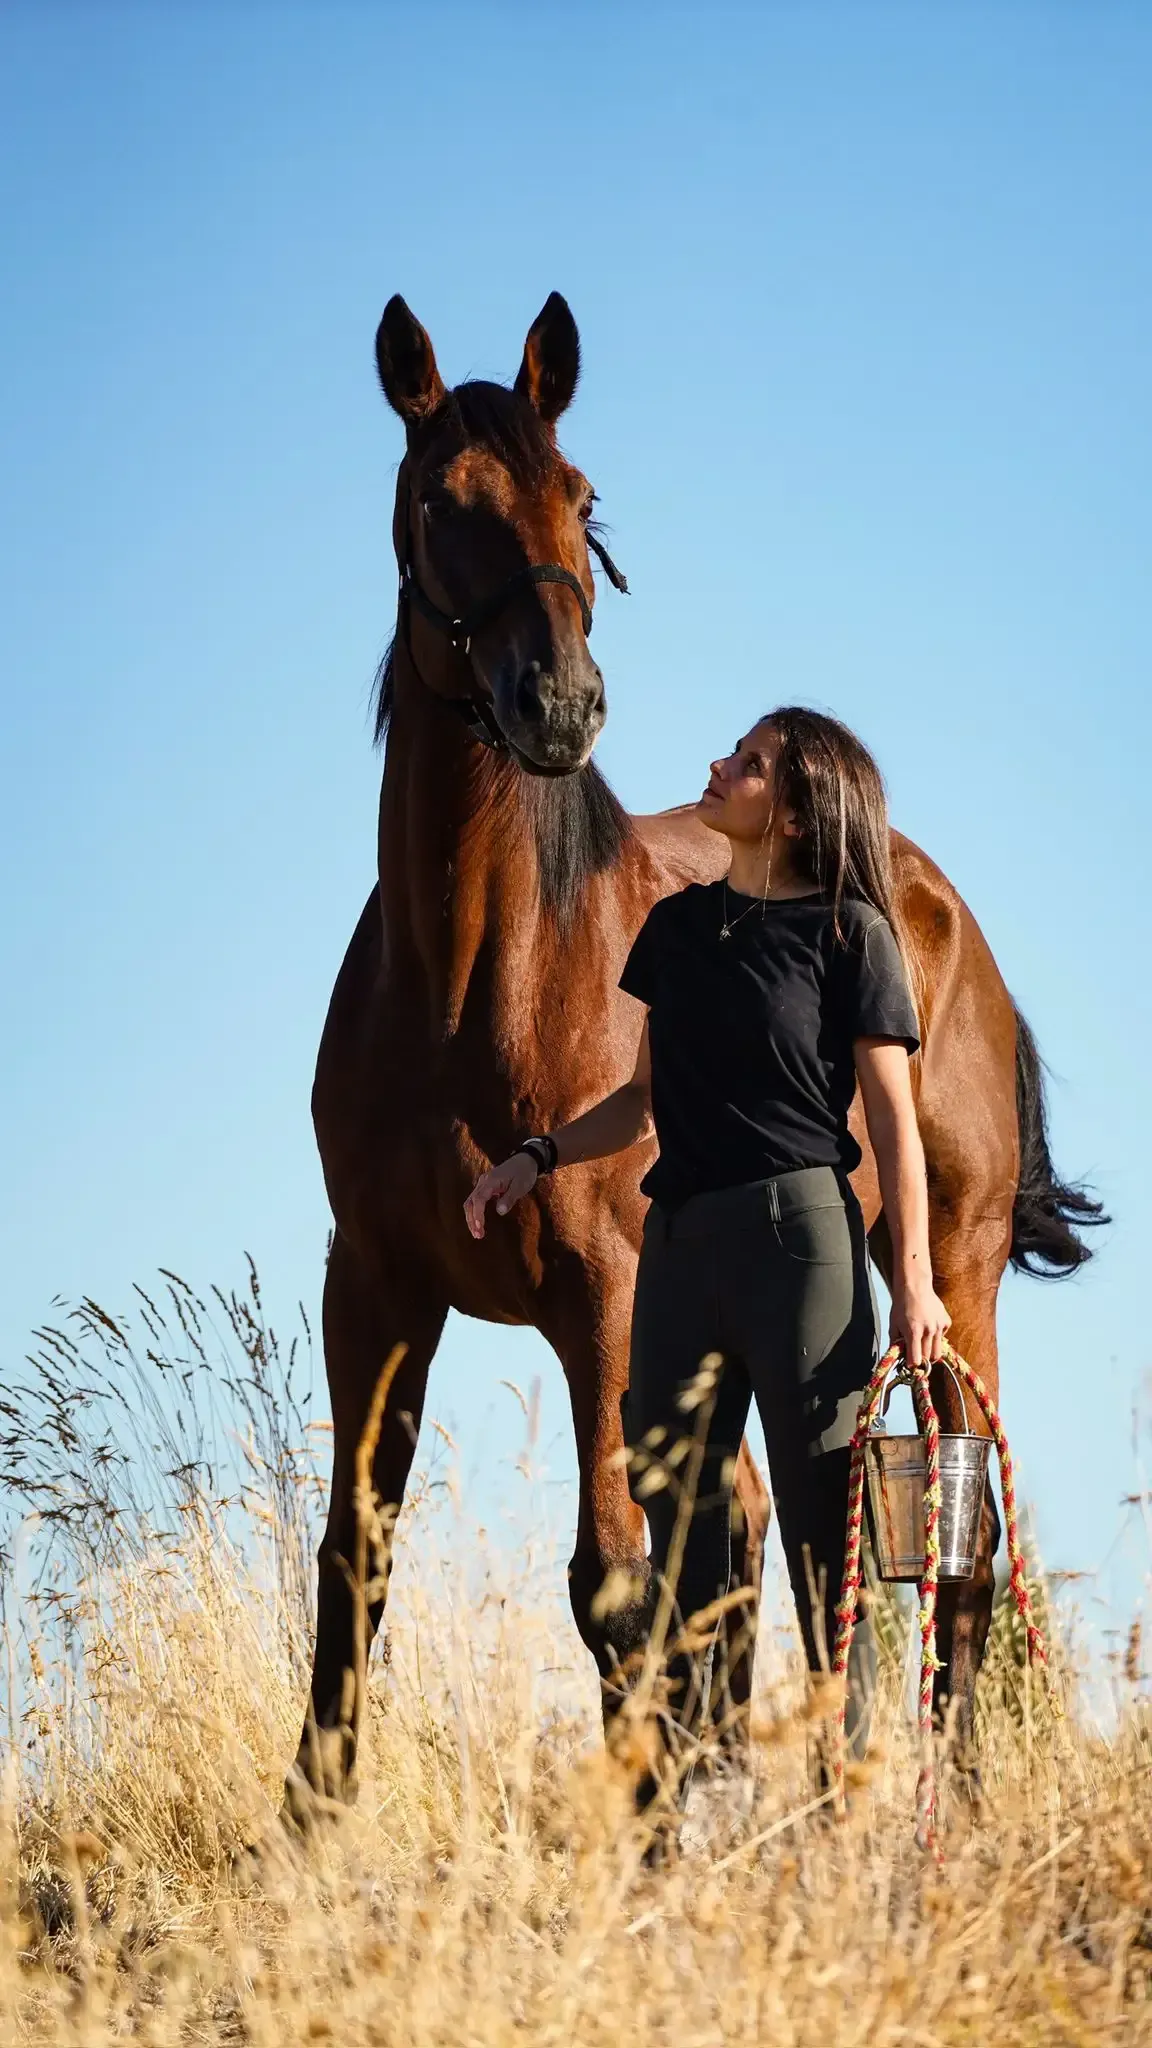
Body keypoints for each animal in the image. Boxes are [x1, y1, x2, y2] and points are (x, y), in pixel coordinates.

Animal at [285, 291, 1101, 1822]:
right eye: (437, 502)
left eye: (581, 496)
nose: (556, 700)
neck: (473, 992)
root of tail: (935, 904)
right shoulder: (373, 1291)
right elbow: (356, 1557)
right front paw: (307, 1829)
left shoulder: (603, 1305)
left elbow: (614, 1582)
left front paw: (646, 1830)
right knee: (781, 1543)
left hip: (948, 1279)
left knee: (941, 1568)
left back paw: (929, 1805)